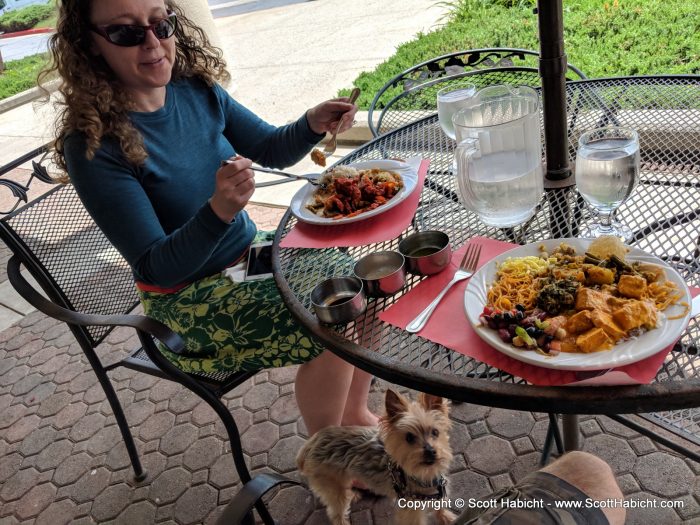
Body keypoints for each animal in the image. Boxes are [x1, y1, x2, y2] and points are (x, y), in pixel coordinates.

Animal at [294, 388, 454, 524]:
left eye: (435, 432)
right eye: (409, 437)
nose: (431, 451)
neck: (424, 474)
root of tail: (311, 443)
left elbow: (440, 506)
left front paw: (446, 517)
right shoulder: (410, 509)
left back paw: (352, 494)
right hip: (331, 484)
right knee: (336, 512)